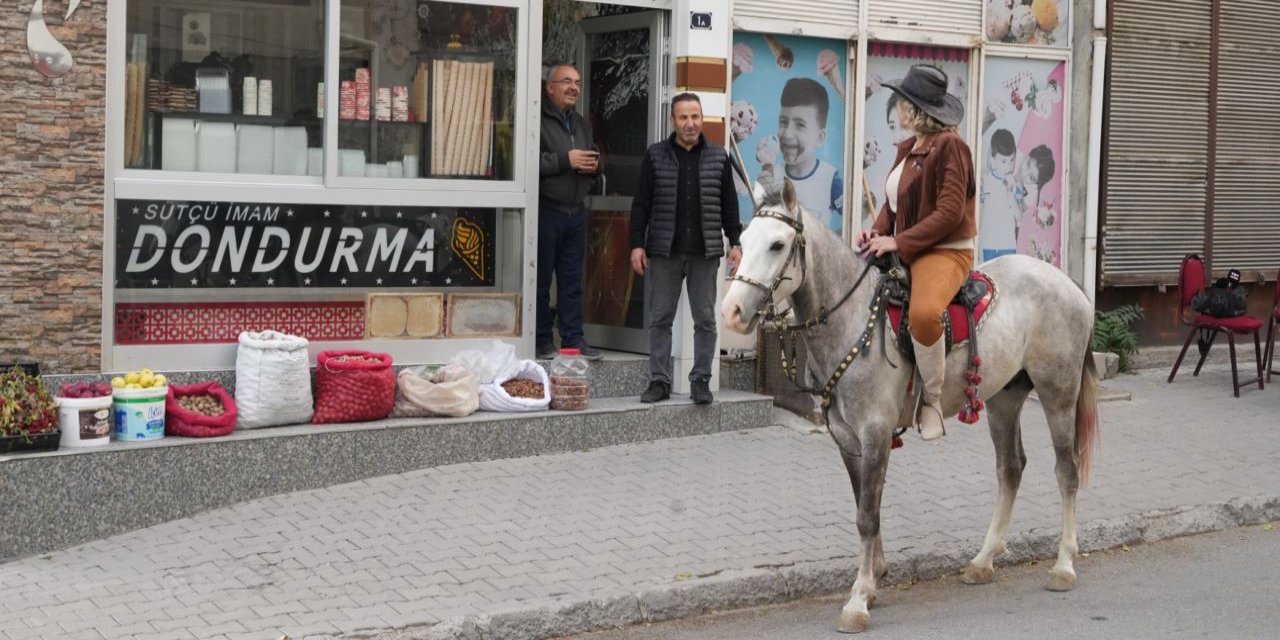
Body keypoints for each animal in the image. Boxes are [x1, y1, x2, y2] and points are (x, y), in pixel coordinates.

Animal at [721, 179, 1100, 629]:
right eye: (743, 240)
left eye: (777, 244)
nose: (732, 311)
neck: (852, 319)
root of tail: (1066, 281)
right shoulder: (848, 440)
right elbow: (866, 505)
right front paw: (873, 582)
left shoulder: (875, 434)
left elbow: (867, 515)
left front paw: (857, 601)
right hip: (1004, 399)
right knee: (1010, 468)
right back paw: (983, 561)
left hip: (1058, 392)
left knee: (1066, 470)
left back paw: (1064, 565)